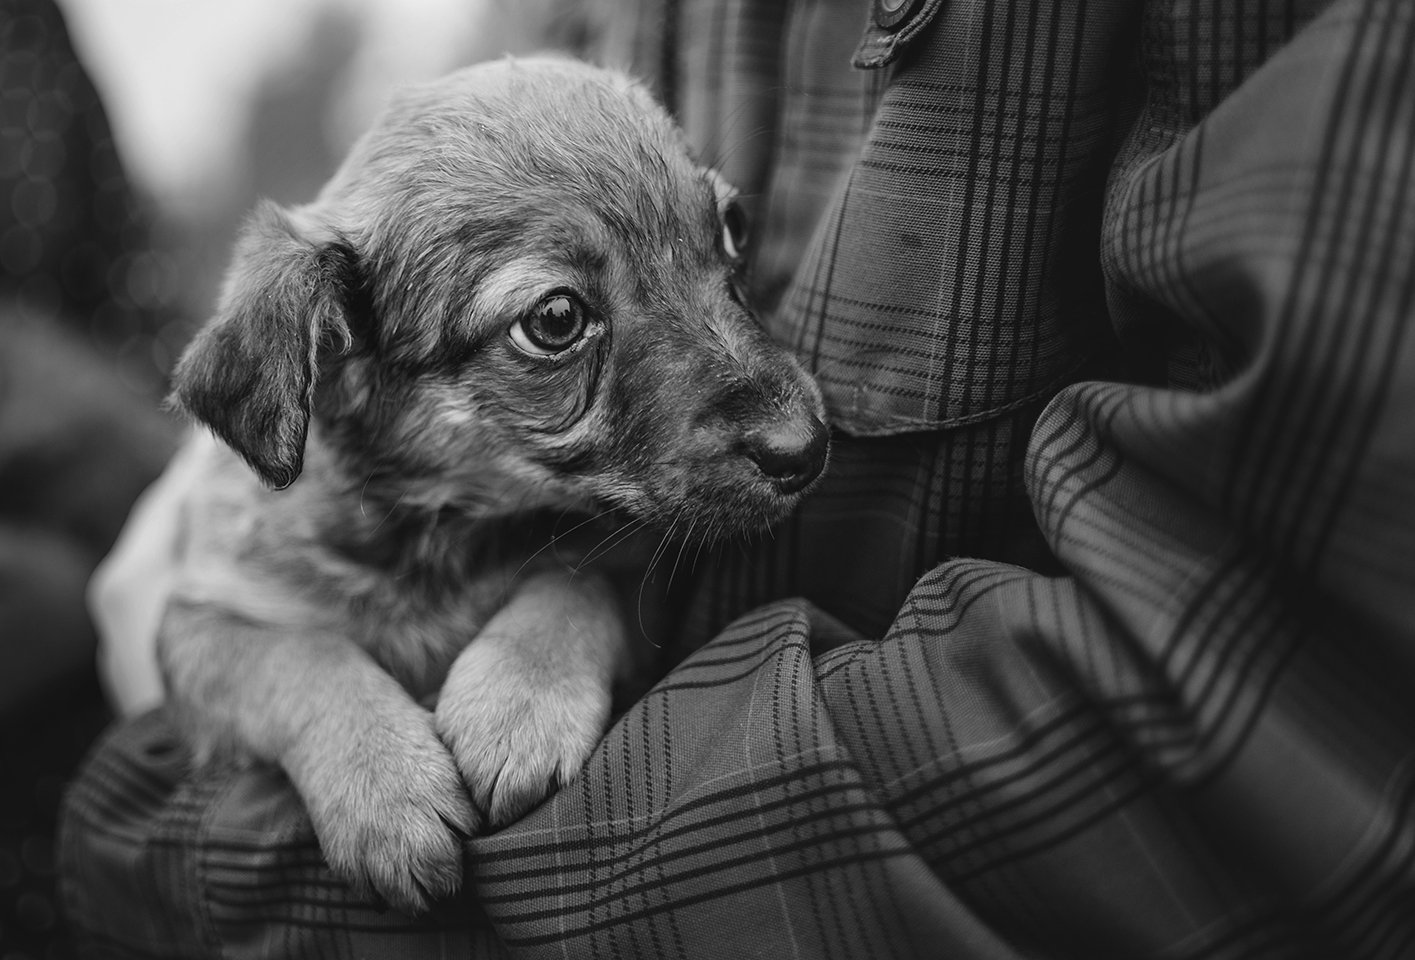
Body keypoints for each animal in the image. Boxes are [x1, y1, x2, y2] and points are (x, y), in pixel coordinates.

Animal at [157, 58, 826, 917]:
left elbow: (572, 577)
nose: (805, 447)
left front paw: (518, 703)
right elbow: (299, 658)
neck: (441, 531)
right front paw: (384, 784)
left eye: (733, 230)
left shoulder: (626, 553)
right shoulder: (198, 622)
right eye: (555, 319)